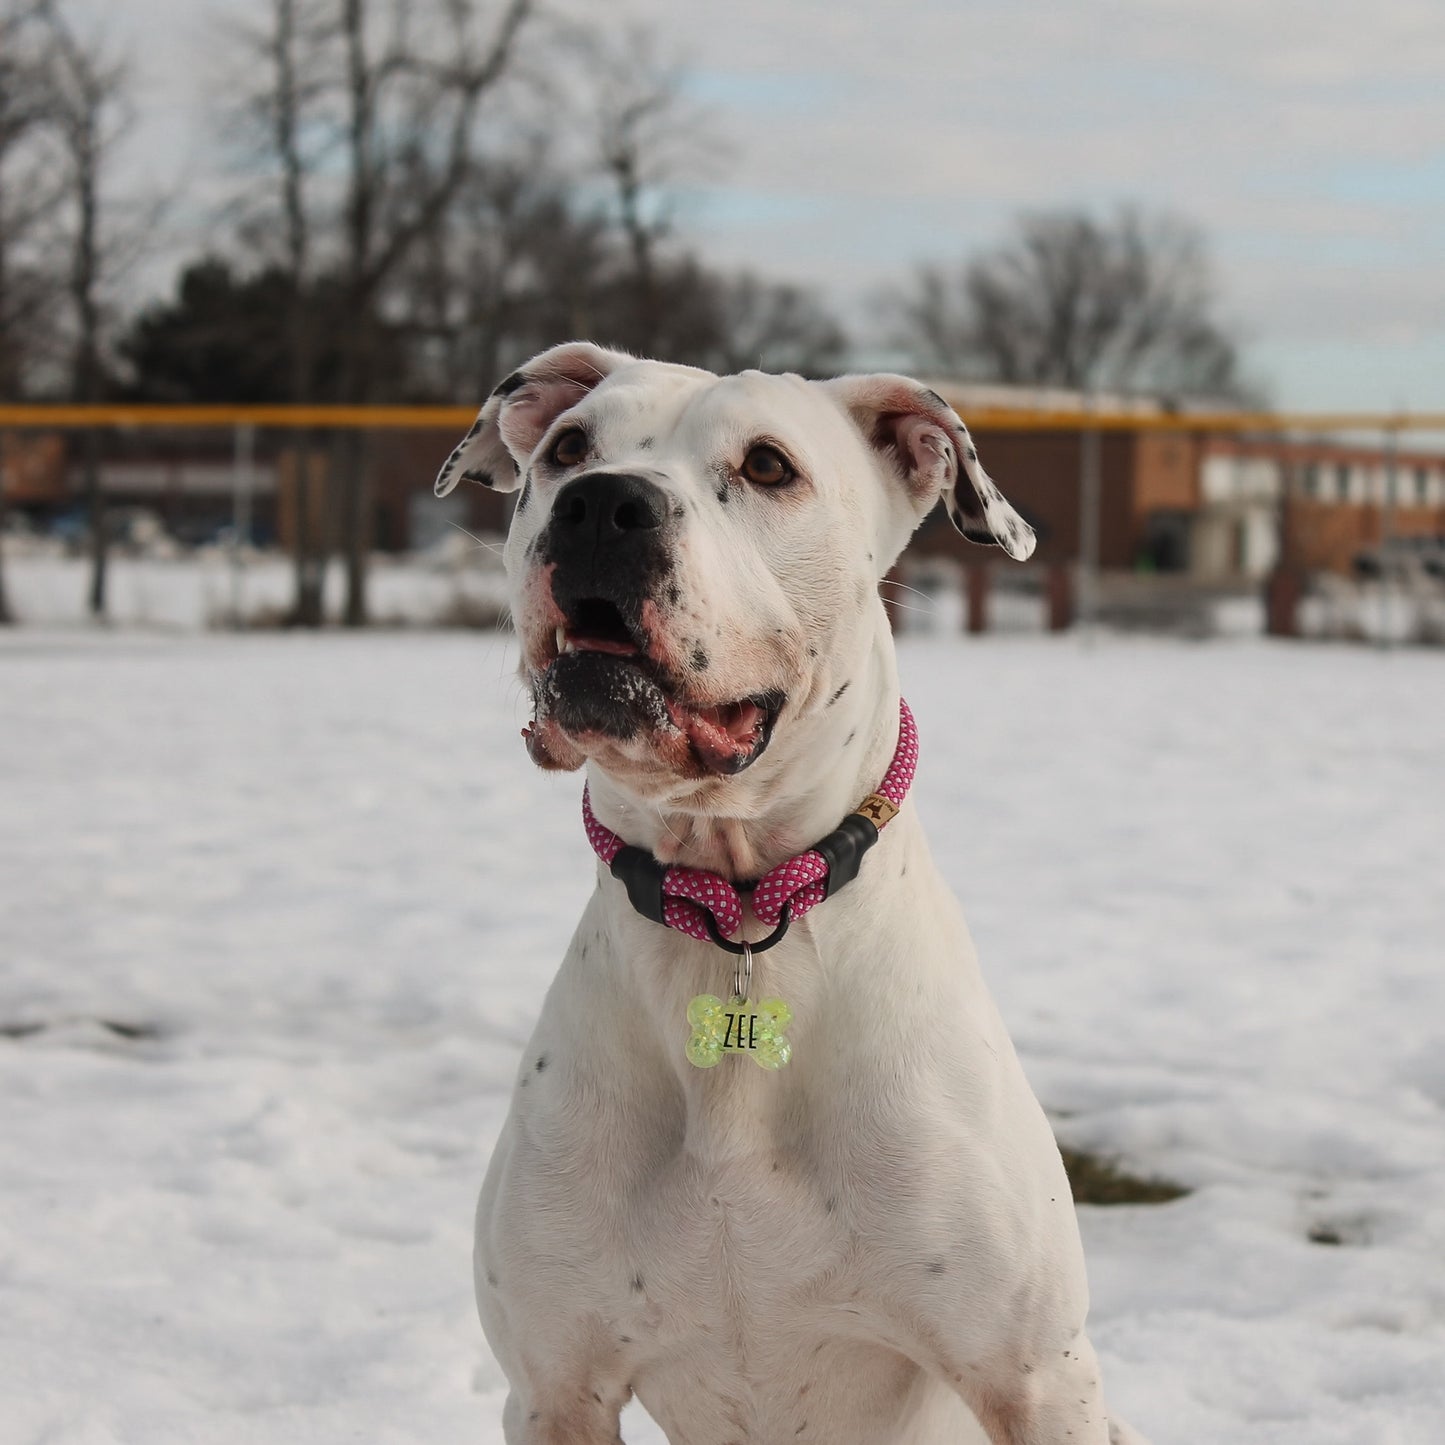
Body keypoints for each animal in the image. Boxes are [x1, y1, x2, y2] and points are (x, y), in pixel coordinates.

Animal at [439, 341, 1138, 1445]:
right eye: (567, 449)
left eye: (768, 466)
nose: (601, 505)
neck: (730, 902)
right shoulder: (554, 1390)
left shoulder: (1036, 1379)